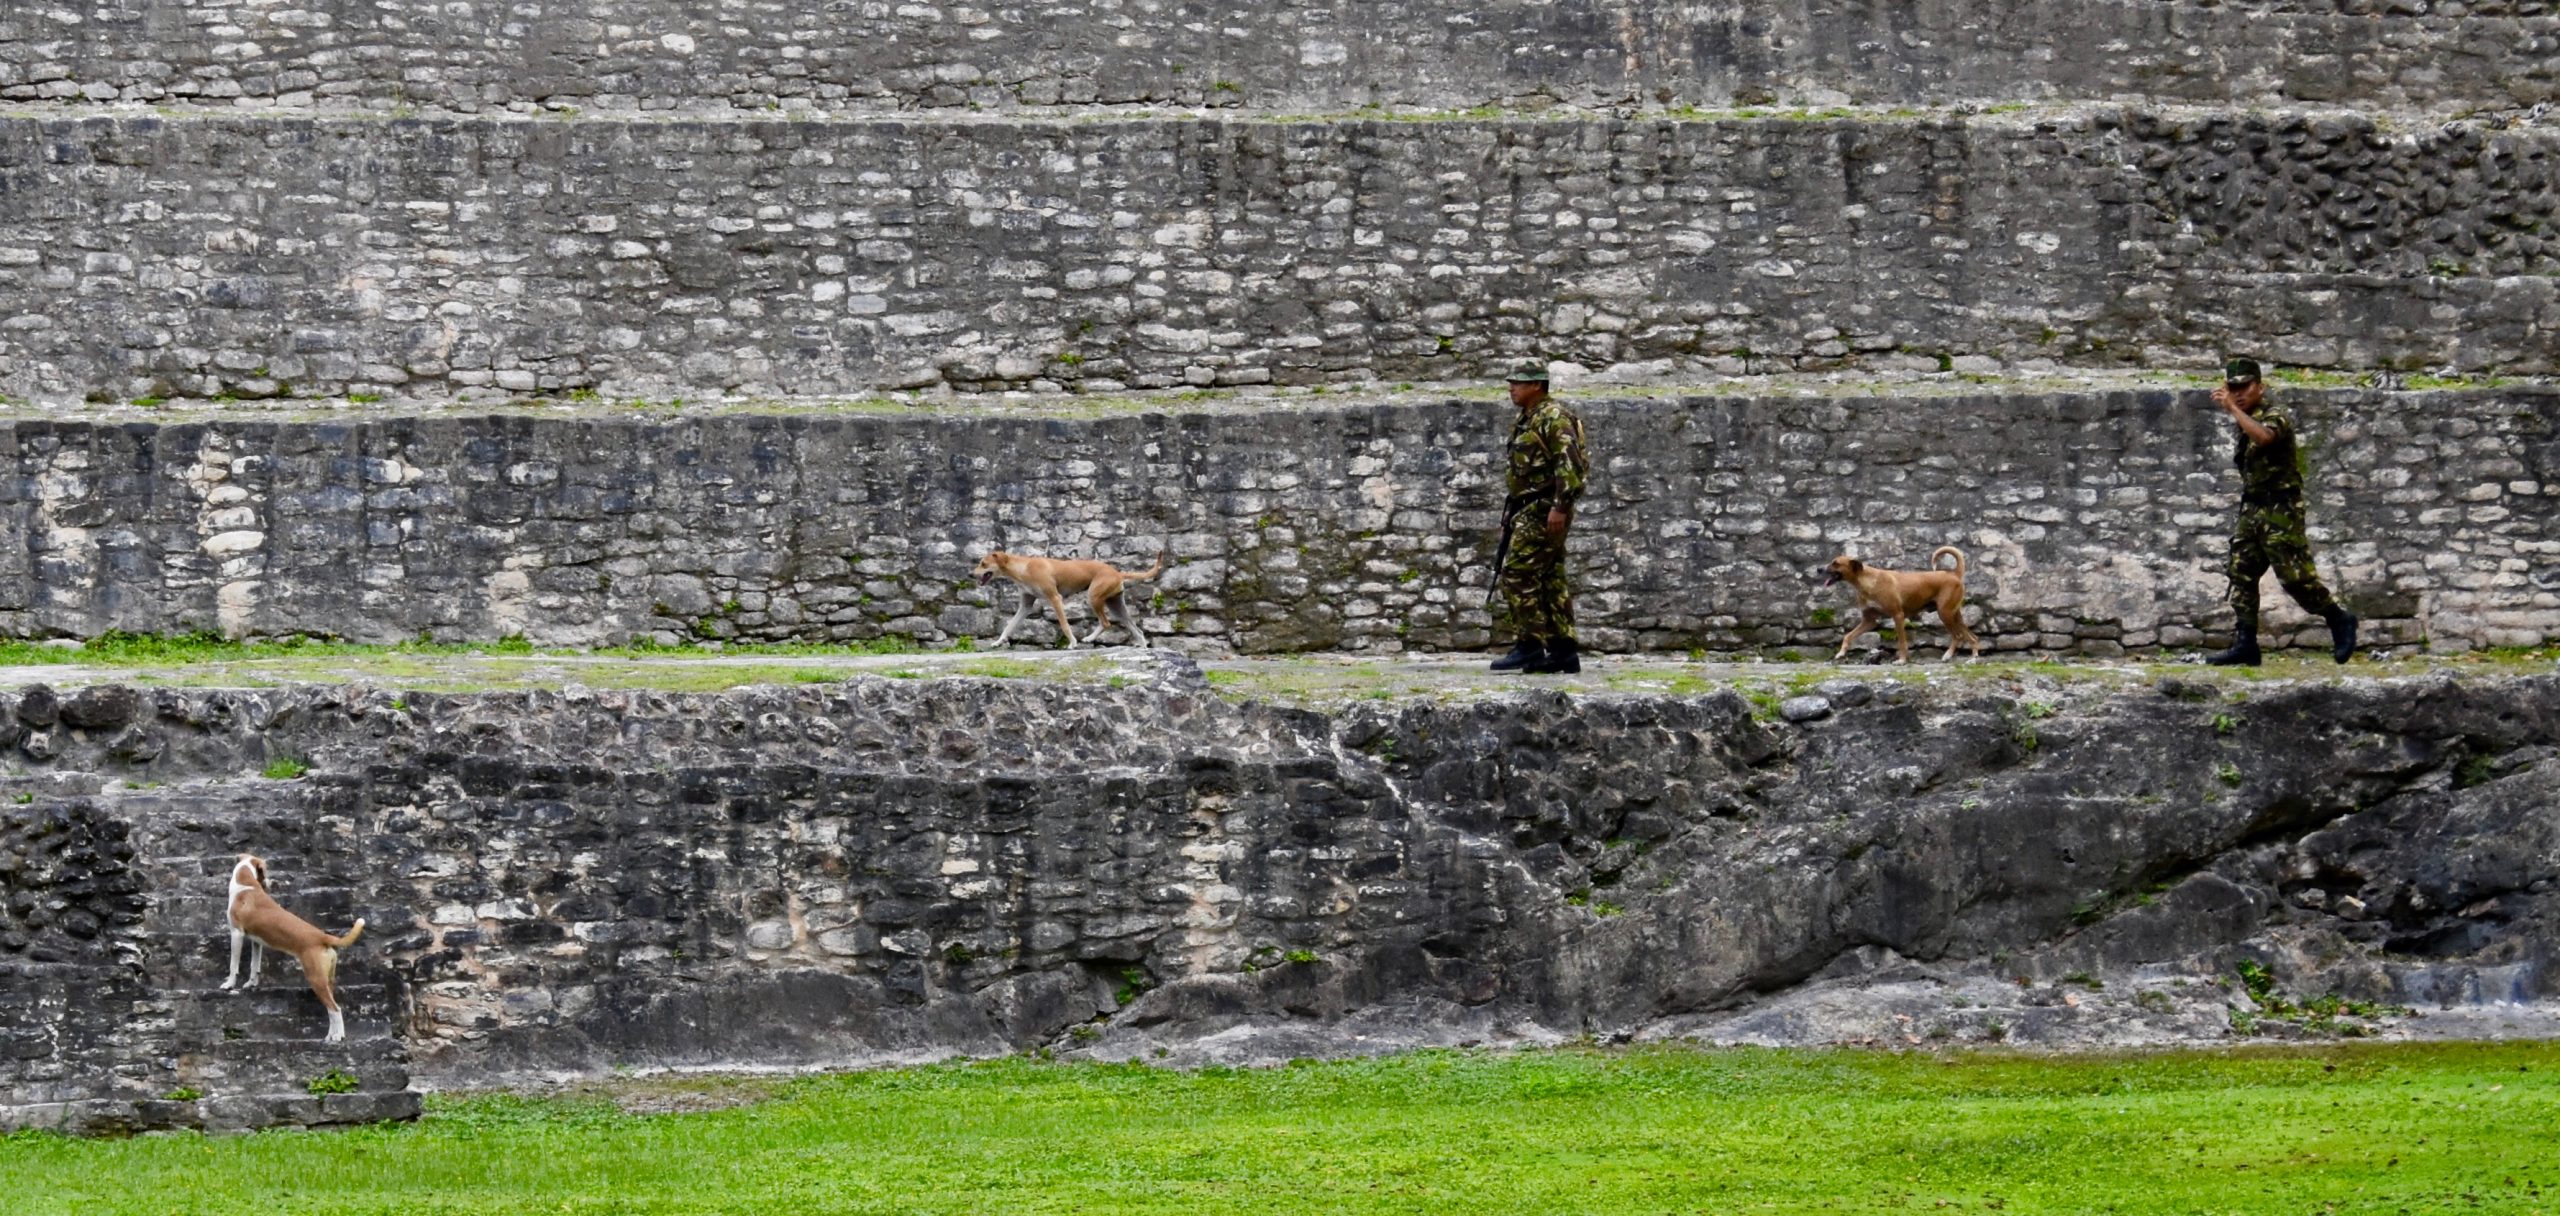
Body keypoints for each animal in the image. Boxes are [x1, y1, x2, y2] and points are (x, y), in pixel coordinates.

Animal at [221, 855, 366, 1049]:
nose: (272, 883)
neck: (246, 883)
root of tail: (322, 937)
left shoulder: (236, 933)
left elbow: (233, 965)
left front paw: (229, 984)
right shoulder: (256, 941)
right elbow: (254, 965)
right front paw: (251, 983)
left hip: (315, 979)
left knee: (335, 1009)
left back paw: (336, 1037)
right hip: (326, 980)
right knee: (332, 1009)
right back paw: (333, 1035)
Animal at [967, 550, 1172, 652]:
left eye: (983, 564)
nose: (969, 574)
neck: (1023, 568)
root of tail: (1117, 573)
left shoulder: (1055, 599)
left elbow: (1065, 625)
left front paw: (1072, 643)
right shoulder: (1025, 606)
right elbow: (1009, 626)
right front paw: (998, 642)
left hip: (1093, 598)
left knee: (1106, 623)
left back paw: (1088, 638)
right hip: (1115, 605)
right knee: (1135, 628)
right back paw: (1142, 646)